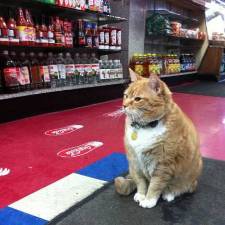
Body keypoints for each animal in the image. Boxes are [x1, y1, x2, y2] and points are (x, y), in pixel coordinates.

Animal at [114, 69, 202, 208]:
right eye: (125, 96)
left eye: (137, 99)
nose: (124, 105)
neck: (144, 127)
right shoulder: (135, 162)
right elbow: (140, 181)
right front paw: (141, 195)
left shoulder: (164, 164)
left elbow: (155, 185)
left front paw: (149, 199)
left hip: (192, 175)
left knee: (185, 187)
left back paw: (170, 193)